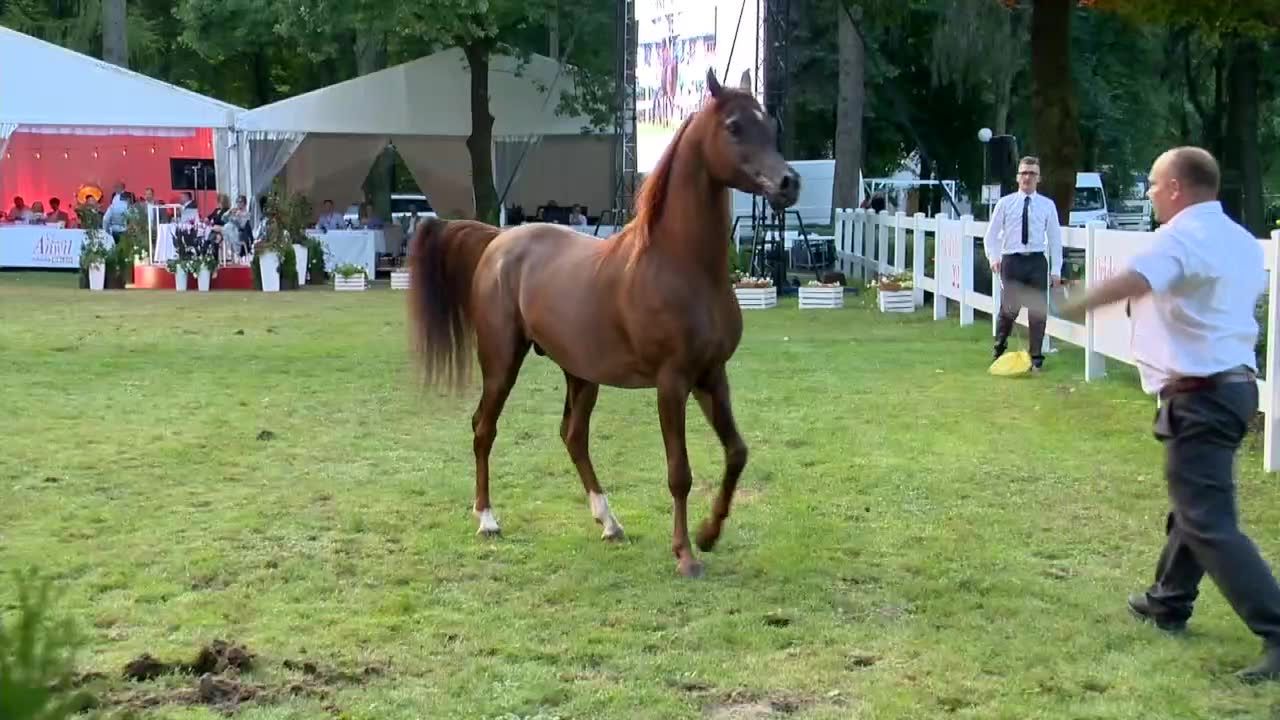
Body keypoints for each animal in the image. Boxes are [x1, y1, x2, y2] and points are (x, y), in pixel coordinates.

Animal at [404, 68, 793, 576]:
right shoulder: (672, 383)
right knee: (483, 428)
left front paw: (709, 535)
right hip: (502, 363)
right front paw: (685, 554)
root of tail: (498, 240)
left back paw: (609, 522)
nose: (789, 183)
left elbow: (737, 452)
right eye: (733, 126)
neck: (679, 264)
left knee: (573, 437)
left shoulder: (711, 376)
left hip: (581, 374)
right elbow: (679, 472)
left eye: (770, 124)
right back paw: (487, 518)